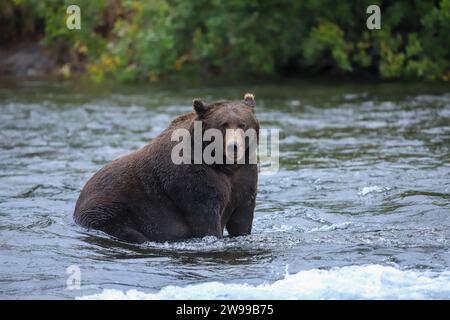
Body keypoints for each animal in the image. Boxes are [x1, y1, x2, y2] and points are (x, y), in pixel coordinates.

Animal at [72, 94, 258, 244]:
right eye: (223, 125)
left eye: (242, 124)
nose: (234, 146)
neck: (223, 164)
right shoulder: (192, 178)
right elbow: (205, 216)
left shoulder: (244, 175)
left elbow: (242, 215)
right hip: (109, 210)